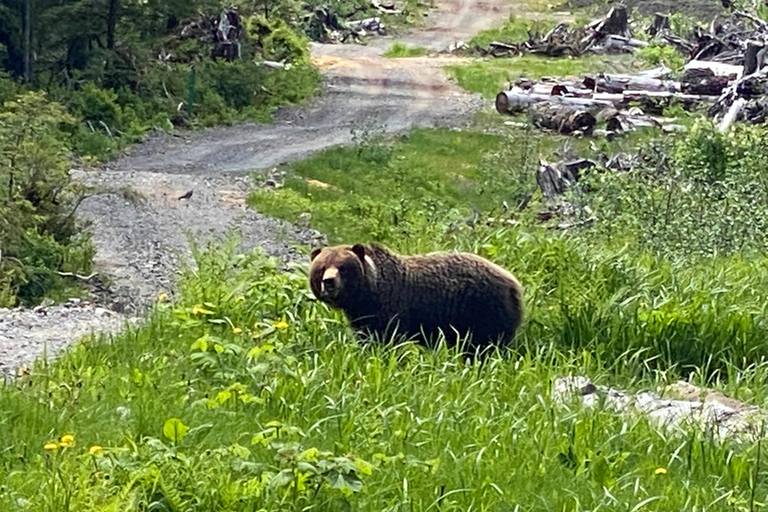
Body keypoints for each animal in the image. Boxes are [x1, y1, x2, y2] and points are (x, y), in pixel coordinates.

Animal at [309, 243, 523, 355]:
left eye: (343, 267)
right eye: (321, 267)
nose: (329, 281)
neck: (366, 296)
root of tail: (514, 282)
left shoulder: (391, 310)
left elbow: (388, 340)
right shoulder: (362, 318)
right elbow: (366, 338)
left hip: (484, 309)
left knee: (485, 347)